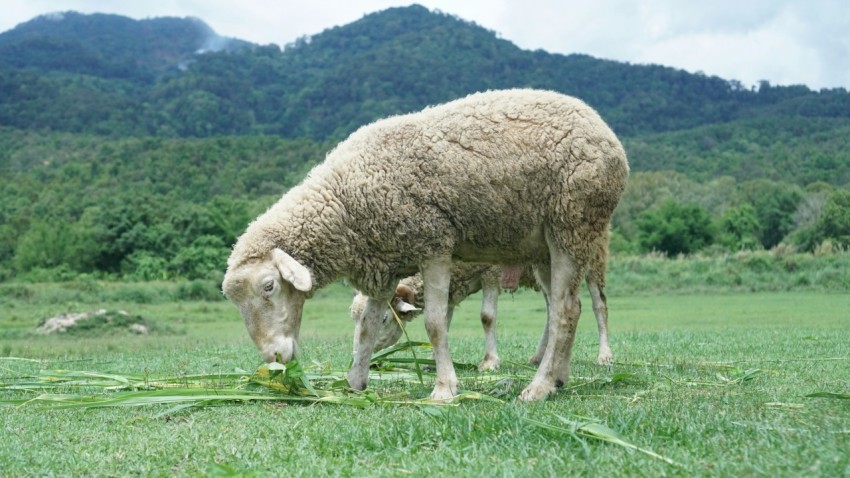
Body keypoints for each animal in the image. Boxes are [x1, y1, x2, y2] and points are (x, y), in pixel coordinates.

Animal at [222, 88, 628, 402]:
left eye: (269, 287)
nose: (274, 358)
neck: (344, 199)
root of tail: (602, 126)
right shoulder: (383, 262)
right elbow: (368, 327)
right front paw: (354, 383)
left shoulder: (433, 244)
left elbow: (435, 323)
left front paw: (445, 388)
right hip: (544, 245)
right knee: (566, 308)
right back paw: (558, 378)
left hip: (574, 224)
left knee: (572, 308)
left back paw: (540, 387)